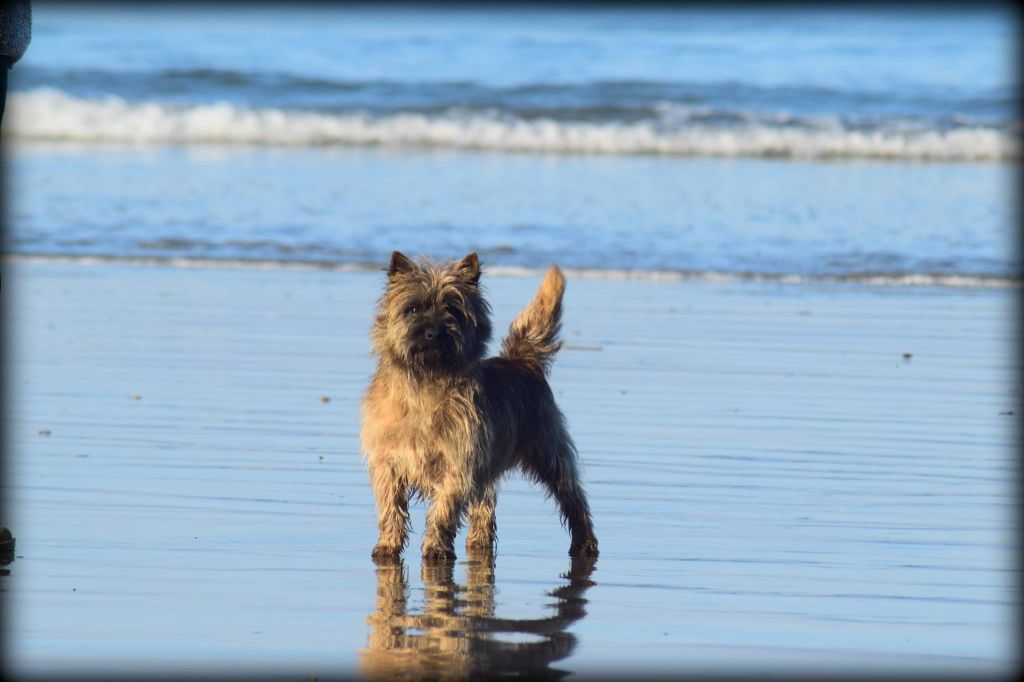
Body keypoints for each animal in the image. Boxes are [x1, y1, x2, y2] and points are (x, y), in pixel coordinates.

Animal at [362, 249, 598, 557]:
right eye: (413, 308)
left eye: (452, 309)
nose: (432, 332)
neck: (427, 383)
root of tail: (524, 361)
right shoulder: (387, 463)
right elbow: (391, 507)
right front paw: (388, 545)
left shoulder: (459, 465)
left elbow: (444, 509)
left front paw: (436, 547)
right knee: (485, 506)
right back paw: (479, 542)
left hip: (549, 452)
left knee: (573, 496)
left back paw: (585, 542)